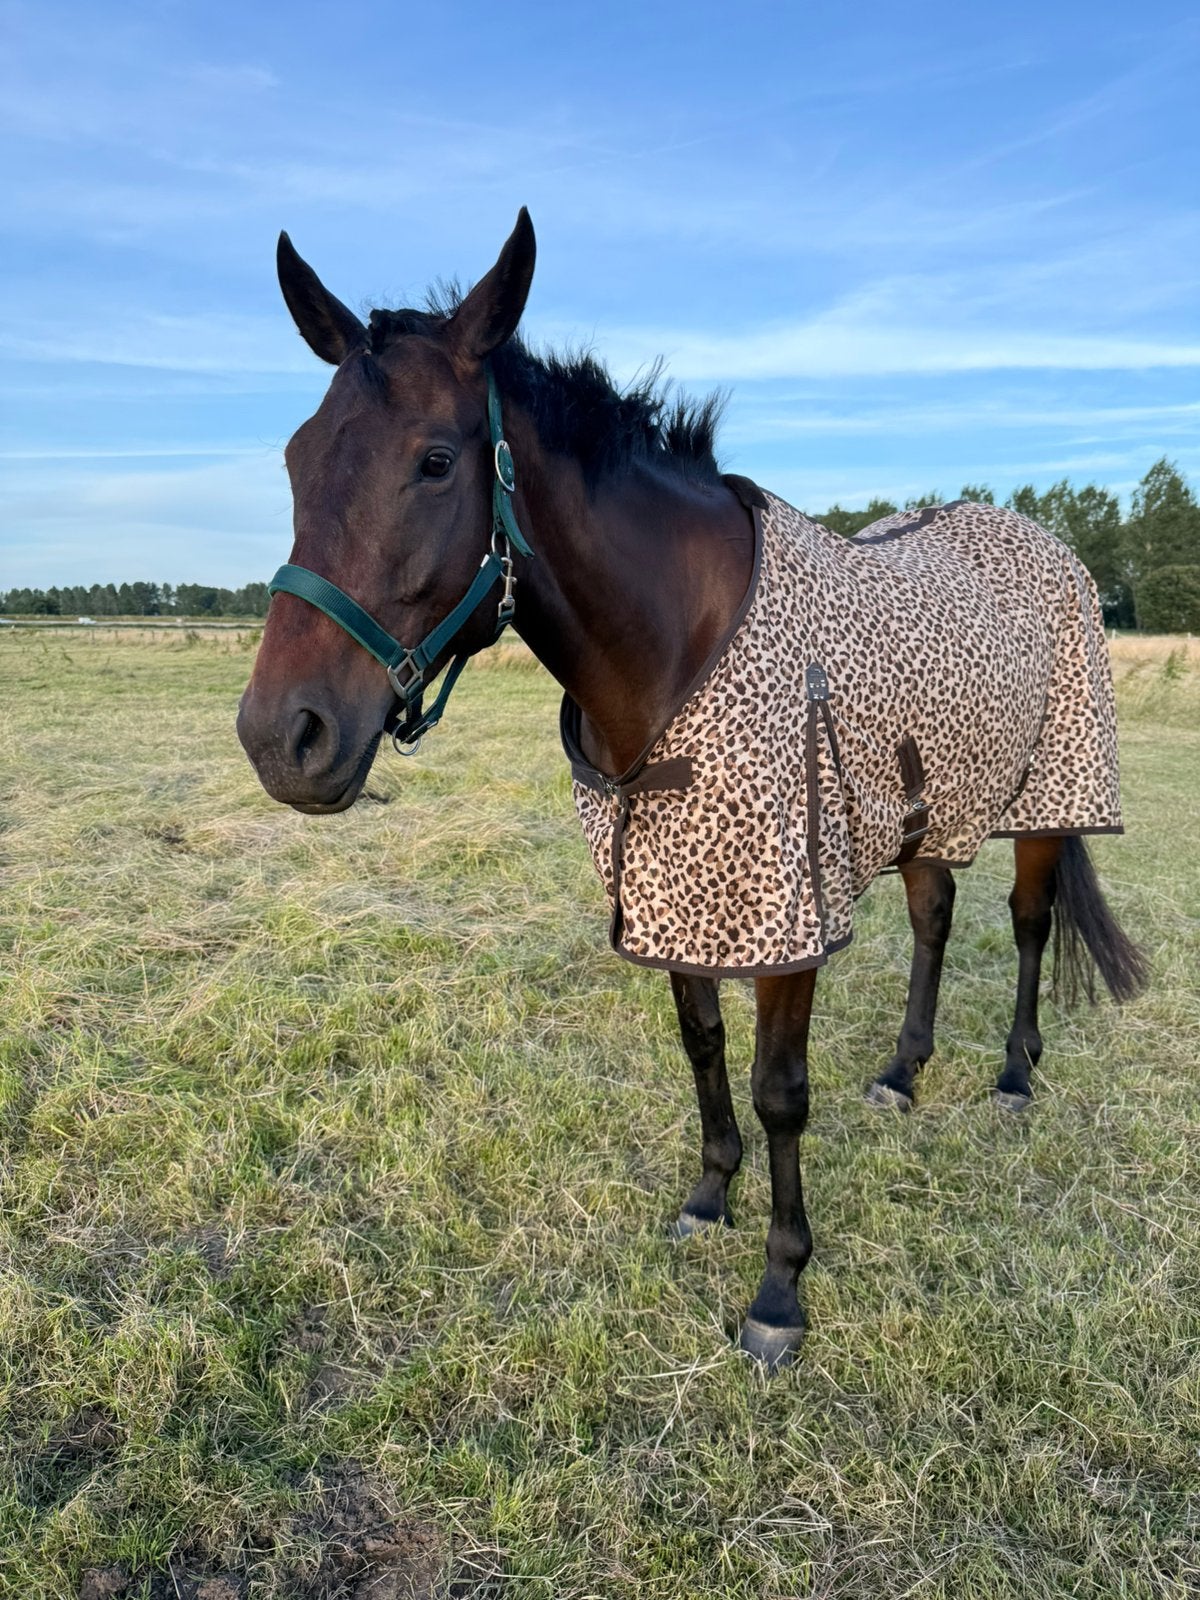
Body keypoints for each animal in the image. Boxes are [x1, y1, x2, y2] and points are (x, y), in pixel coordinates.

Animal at [237, 210, 1147, 1368]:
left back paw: (1017, 1077)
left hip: (1042, 801)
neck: (678, 644)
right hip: (927, 812)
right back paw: (903, 1073)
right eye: (298, 458)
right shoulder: (671, 885)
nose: (281, 737)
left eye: (435, 461)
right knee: (936, 918)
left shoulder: (783, 913)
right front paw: (710, 1195)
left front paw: (780, 1289)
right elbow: (702, 1045)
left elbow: (779, 1090)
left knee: (1030, 922)